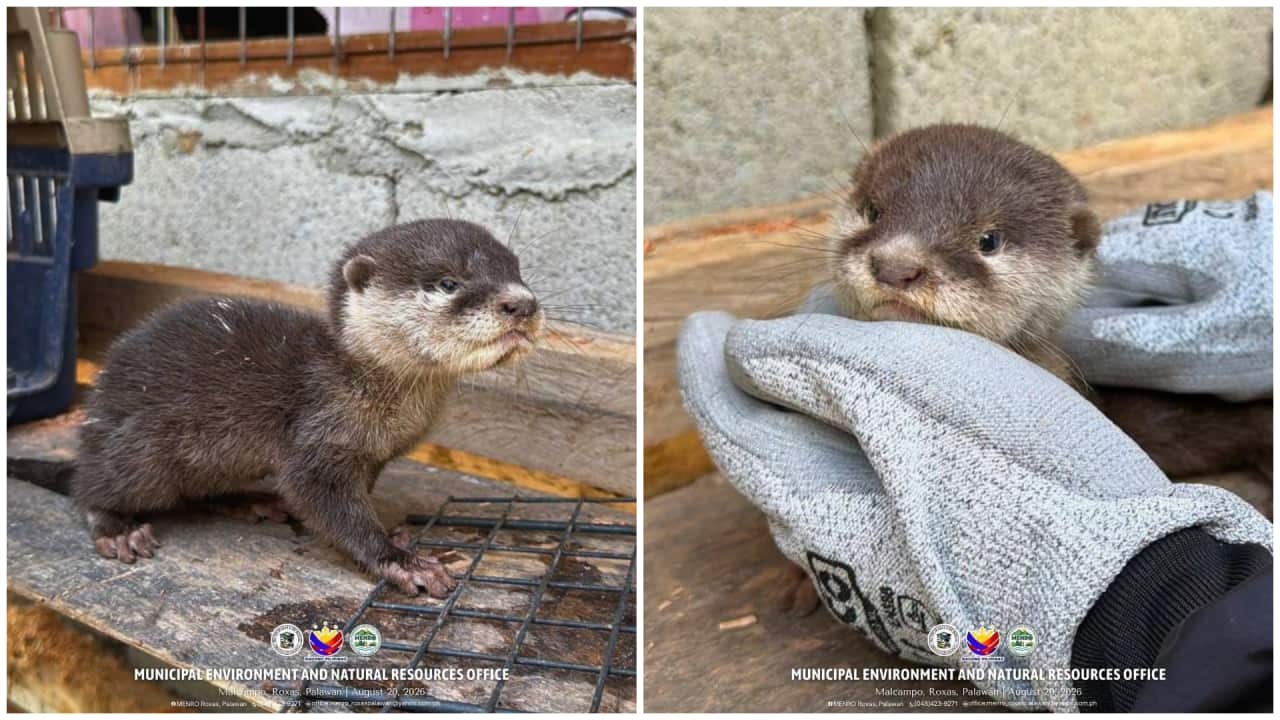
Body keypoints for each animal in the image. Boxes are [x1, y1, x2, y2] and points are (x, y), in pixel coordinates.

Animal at [72, 219, 543, 598]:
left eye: (517, 270)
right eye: (448, 283)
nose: (522, 303)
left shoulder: (373, 456)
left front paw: (397, 538)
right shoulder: (317, 437)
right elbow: (325, 503)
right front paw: (401, 562)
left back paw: (250, 501)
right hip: (139, 452)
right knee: (92, 486)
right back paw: (118, 529)